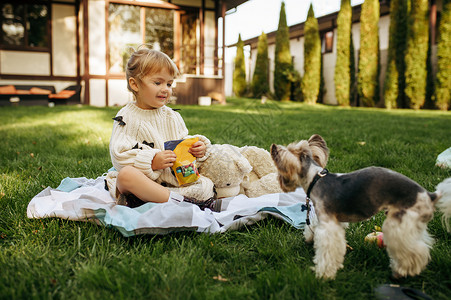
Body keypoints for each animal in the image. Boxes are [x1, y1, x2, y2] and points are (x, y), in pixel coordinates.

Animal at [272, 135, 451, 280]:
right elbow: (313, 226)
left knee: (417, 251)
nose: (279, 181)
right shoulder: (329, 218)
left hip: (400, 222)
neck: (316, 178)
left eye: (280, 169)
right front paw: (309, 238)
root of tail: (431, 195)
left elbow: (327, 248)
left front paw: (323, 274)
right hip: (412, 223)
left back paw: (402, 271)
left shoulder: (328, 224)